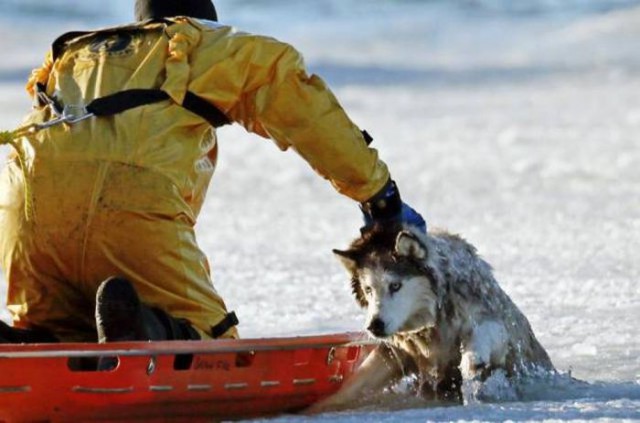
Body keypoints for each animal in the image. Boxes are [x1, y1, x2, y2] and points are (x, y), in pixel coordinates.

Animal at [308, 227, 552, 412]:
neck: (432, 324)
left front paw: (472, 363)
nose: (374, 326)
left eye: (395, 285)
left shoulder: (496, 323)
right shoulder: (397, 352)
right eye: (369, 289)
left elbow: (482, 336)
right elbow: (353, 386)